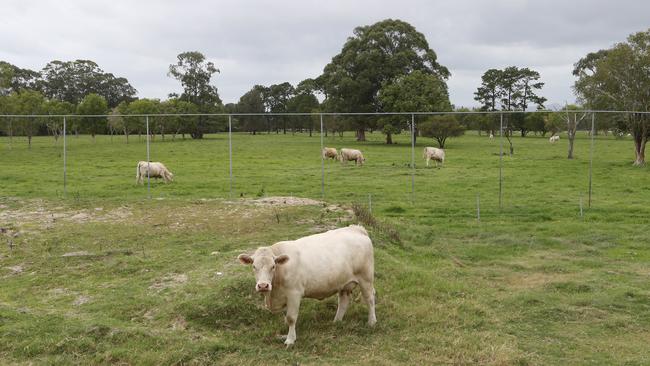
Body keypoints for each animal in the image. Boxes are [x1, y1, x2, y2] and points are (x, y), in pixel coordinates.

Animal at [237, 224, 374, 348]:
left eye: (273, 266)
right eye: (254, 266)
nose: (263, 285)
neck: (273, 293)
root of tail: (356, 228)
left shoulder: (294, 293)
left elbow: (291, 317)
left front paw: (290, 340)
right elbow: (286, 317)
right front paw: (285, 333)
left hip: (366, 278)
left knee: (370, 298)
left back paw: (371, 322)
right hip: (343, 283)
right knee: (344, 301)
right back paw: (336, 321)